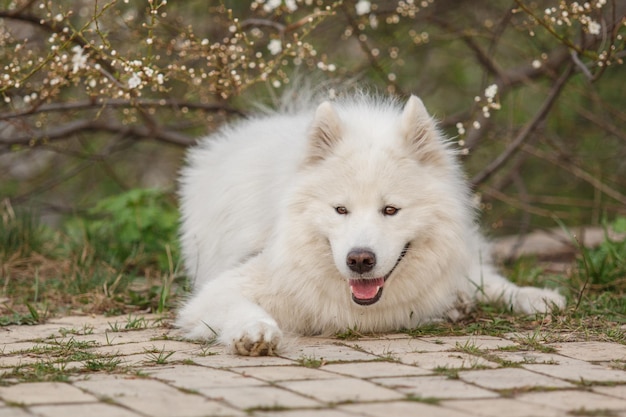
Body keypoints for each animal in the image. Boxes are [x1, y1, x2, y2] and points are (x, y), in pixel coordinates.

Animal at [176, 93, 564, 354]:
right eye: (340, 210)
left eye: (390, 210)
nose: (359, 260)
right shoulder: (222, 289)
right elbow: (243, 307)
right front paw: (256, 332)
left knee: (483, 278)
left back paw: (535, 297)